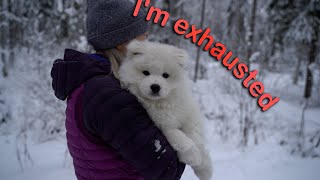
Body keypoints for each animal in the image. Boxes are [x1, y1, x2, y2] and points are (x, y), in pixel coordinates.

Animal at [119, 40, 211, 180]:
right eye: (146, 73)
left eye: (165, 75)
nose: (155, 87)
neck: (164, 103)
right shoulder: (164, 126)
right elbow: (181, 139)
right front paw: (193, 156)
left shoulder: (189, 115)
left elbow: (195, 136)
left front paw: (205, 169)